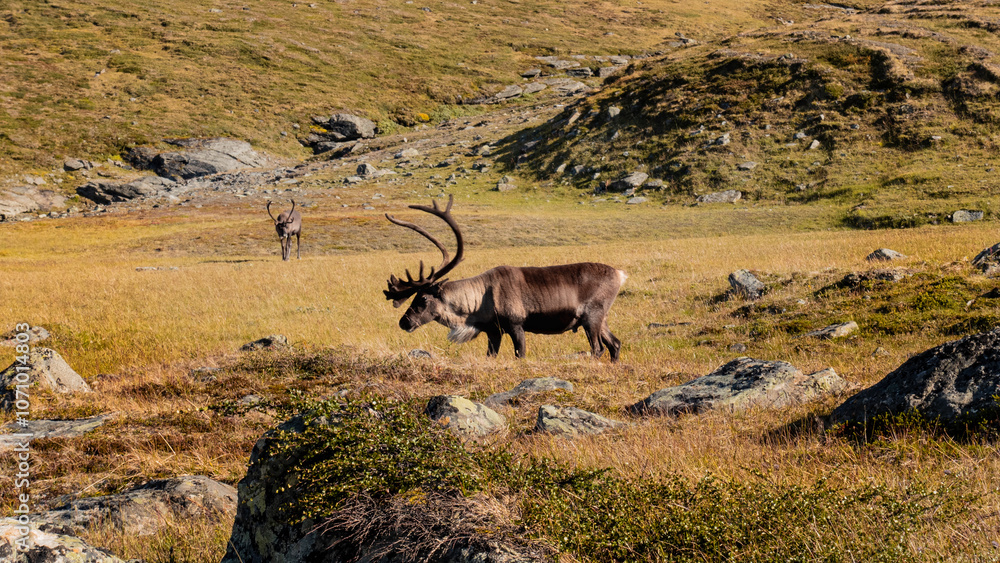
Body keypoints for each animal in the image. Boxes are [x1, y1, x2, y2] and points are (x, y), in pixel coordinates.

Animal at [383, 195, 626, 361]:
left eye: (423, 298)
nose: (404, 321)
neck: (477, 303)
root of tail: (619, 274)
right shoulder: (493, 331)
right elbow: (491, 355)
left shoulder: (516, 324)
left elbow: (520, 354)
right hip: (601, 319)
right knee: (615, 344)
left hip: (591, 317)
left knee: (598, 348)